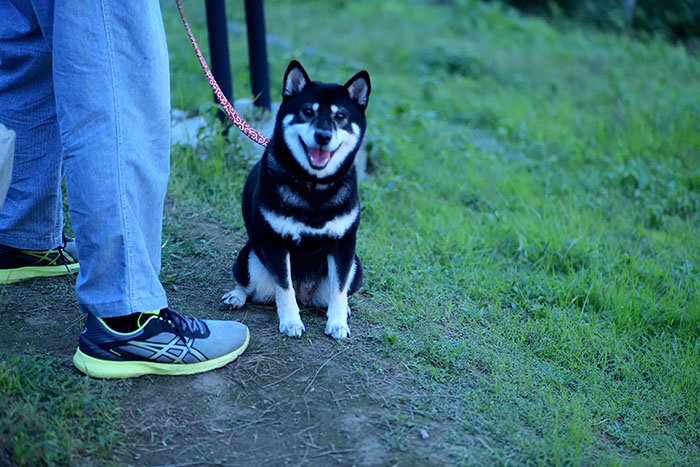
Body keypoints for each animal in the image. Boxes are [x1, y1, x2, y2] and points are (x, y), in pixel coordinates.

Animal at [221, 61, 370, 340]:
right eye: (307, 112)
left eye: (340, 116)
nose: (323, 136)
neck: (313, 186)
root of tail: (306, 294)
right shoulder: (275, 243)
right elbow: (285, 287)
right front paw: (291, 321)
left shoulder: (344, 246)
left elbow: (339, 290)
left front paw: (337, 323)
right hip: (248, 258)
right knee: (247, 285)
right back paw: (236, 296)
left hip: (356, 267)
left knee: (340, 291)